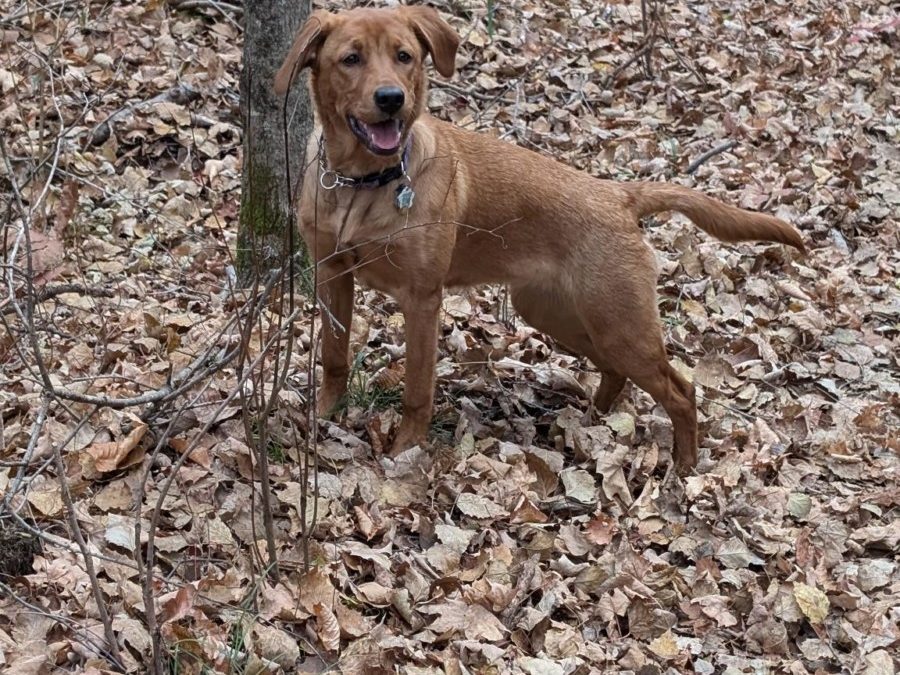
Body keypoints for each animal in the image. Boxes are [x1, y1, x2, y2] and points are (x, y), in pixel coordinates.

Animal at [272, 5, 800, 472]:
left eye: (404, 56)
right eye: (351, 59)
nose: (390, 99)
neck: (363, 182)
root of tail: (619, 194)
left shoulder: (421, 297)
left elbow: (418, 388)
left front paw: (405, 450)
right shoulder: (331, 273)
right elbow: (333, 357)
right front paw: (324, 415)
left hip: (620, 322)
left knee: (681, 390)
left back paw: (685, 466)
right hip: (557, 312)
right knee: (615, 371)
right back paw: (594, 421)